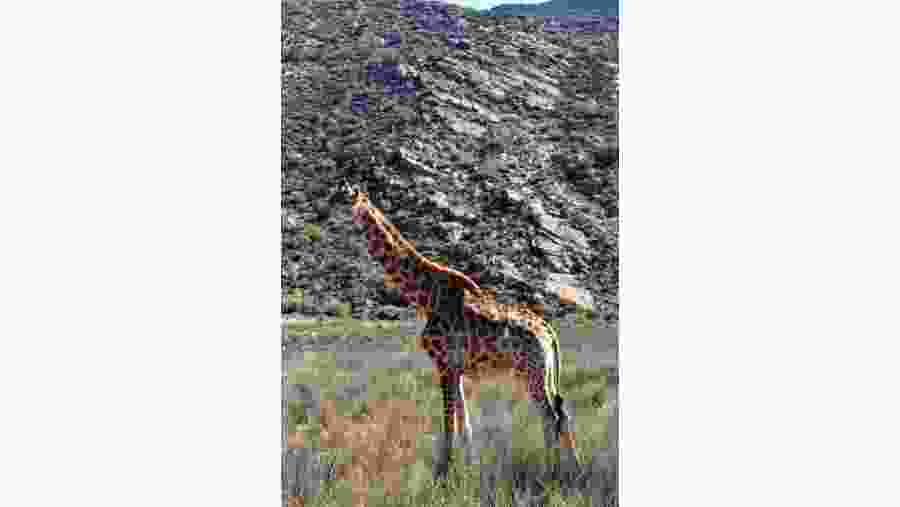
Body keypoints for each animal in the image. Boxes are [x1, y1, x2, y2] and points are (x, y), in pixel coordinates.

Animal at [345, 182, 580, 481]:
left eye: (351, 201)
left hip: (532, 372)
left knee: (551, 417)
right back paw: (573, 469)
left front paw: (443, 475)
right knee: (561, 413)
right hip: (543, 372)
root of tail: (549, 332)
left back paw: (550, 472)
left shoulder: (444, 364)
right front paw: (470, 470)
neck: (425, 296)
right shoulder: (456, 368)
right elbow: (464, 424)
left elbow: (449, 426)